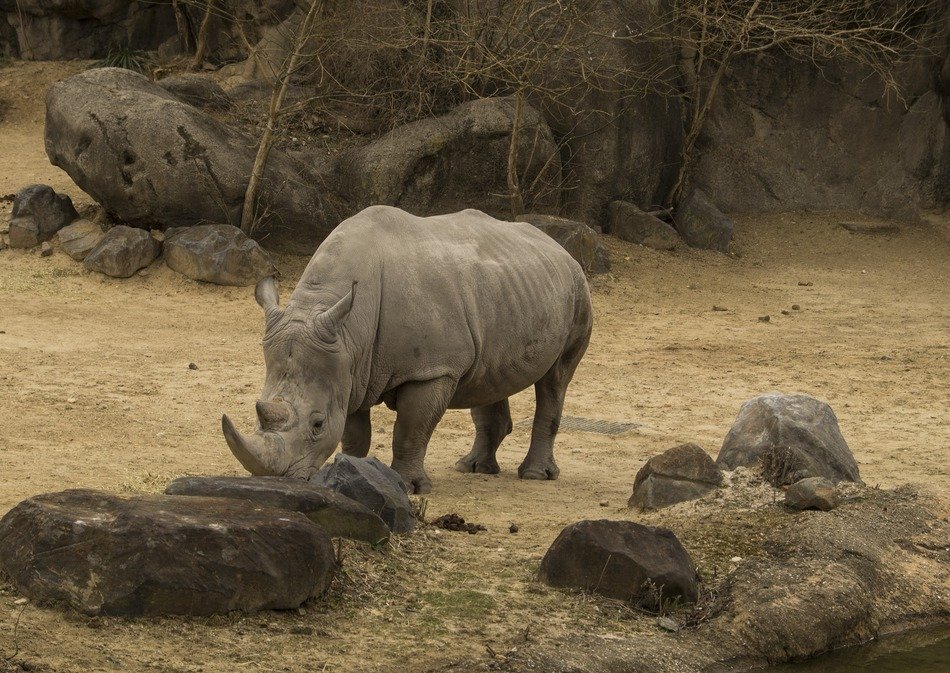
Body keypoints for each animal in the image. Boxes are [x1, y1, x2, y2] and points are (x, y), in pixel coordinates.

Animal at [222, 205, 592, 493]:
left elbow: (410, 429)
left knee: (556, 380)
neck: (348, 328)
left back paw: (535, 476)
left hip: (577, 289)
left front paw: (408, 487)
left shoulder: (431, 369)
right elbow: (355, 433)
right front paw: (354, 474)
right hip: (512, 289)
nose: (277, 482)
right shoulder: (351, 369)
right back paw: (472, 468)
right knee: (489, 375)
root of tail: (558, 247)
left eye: (317, 424)